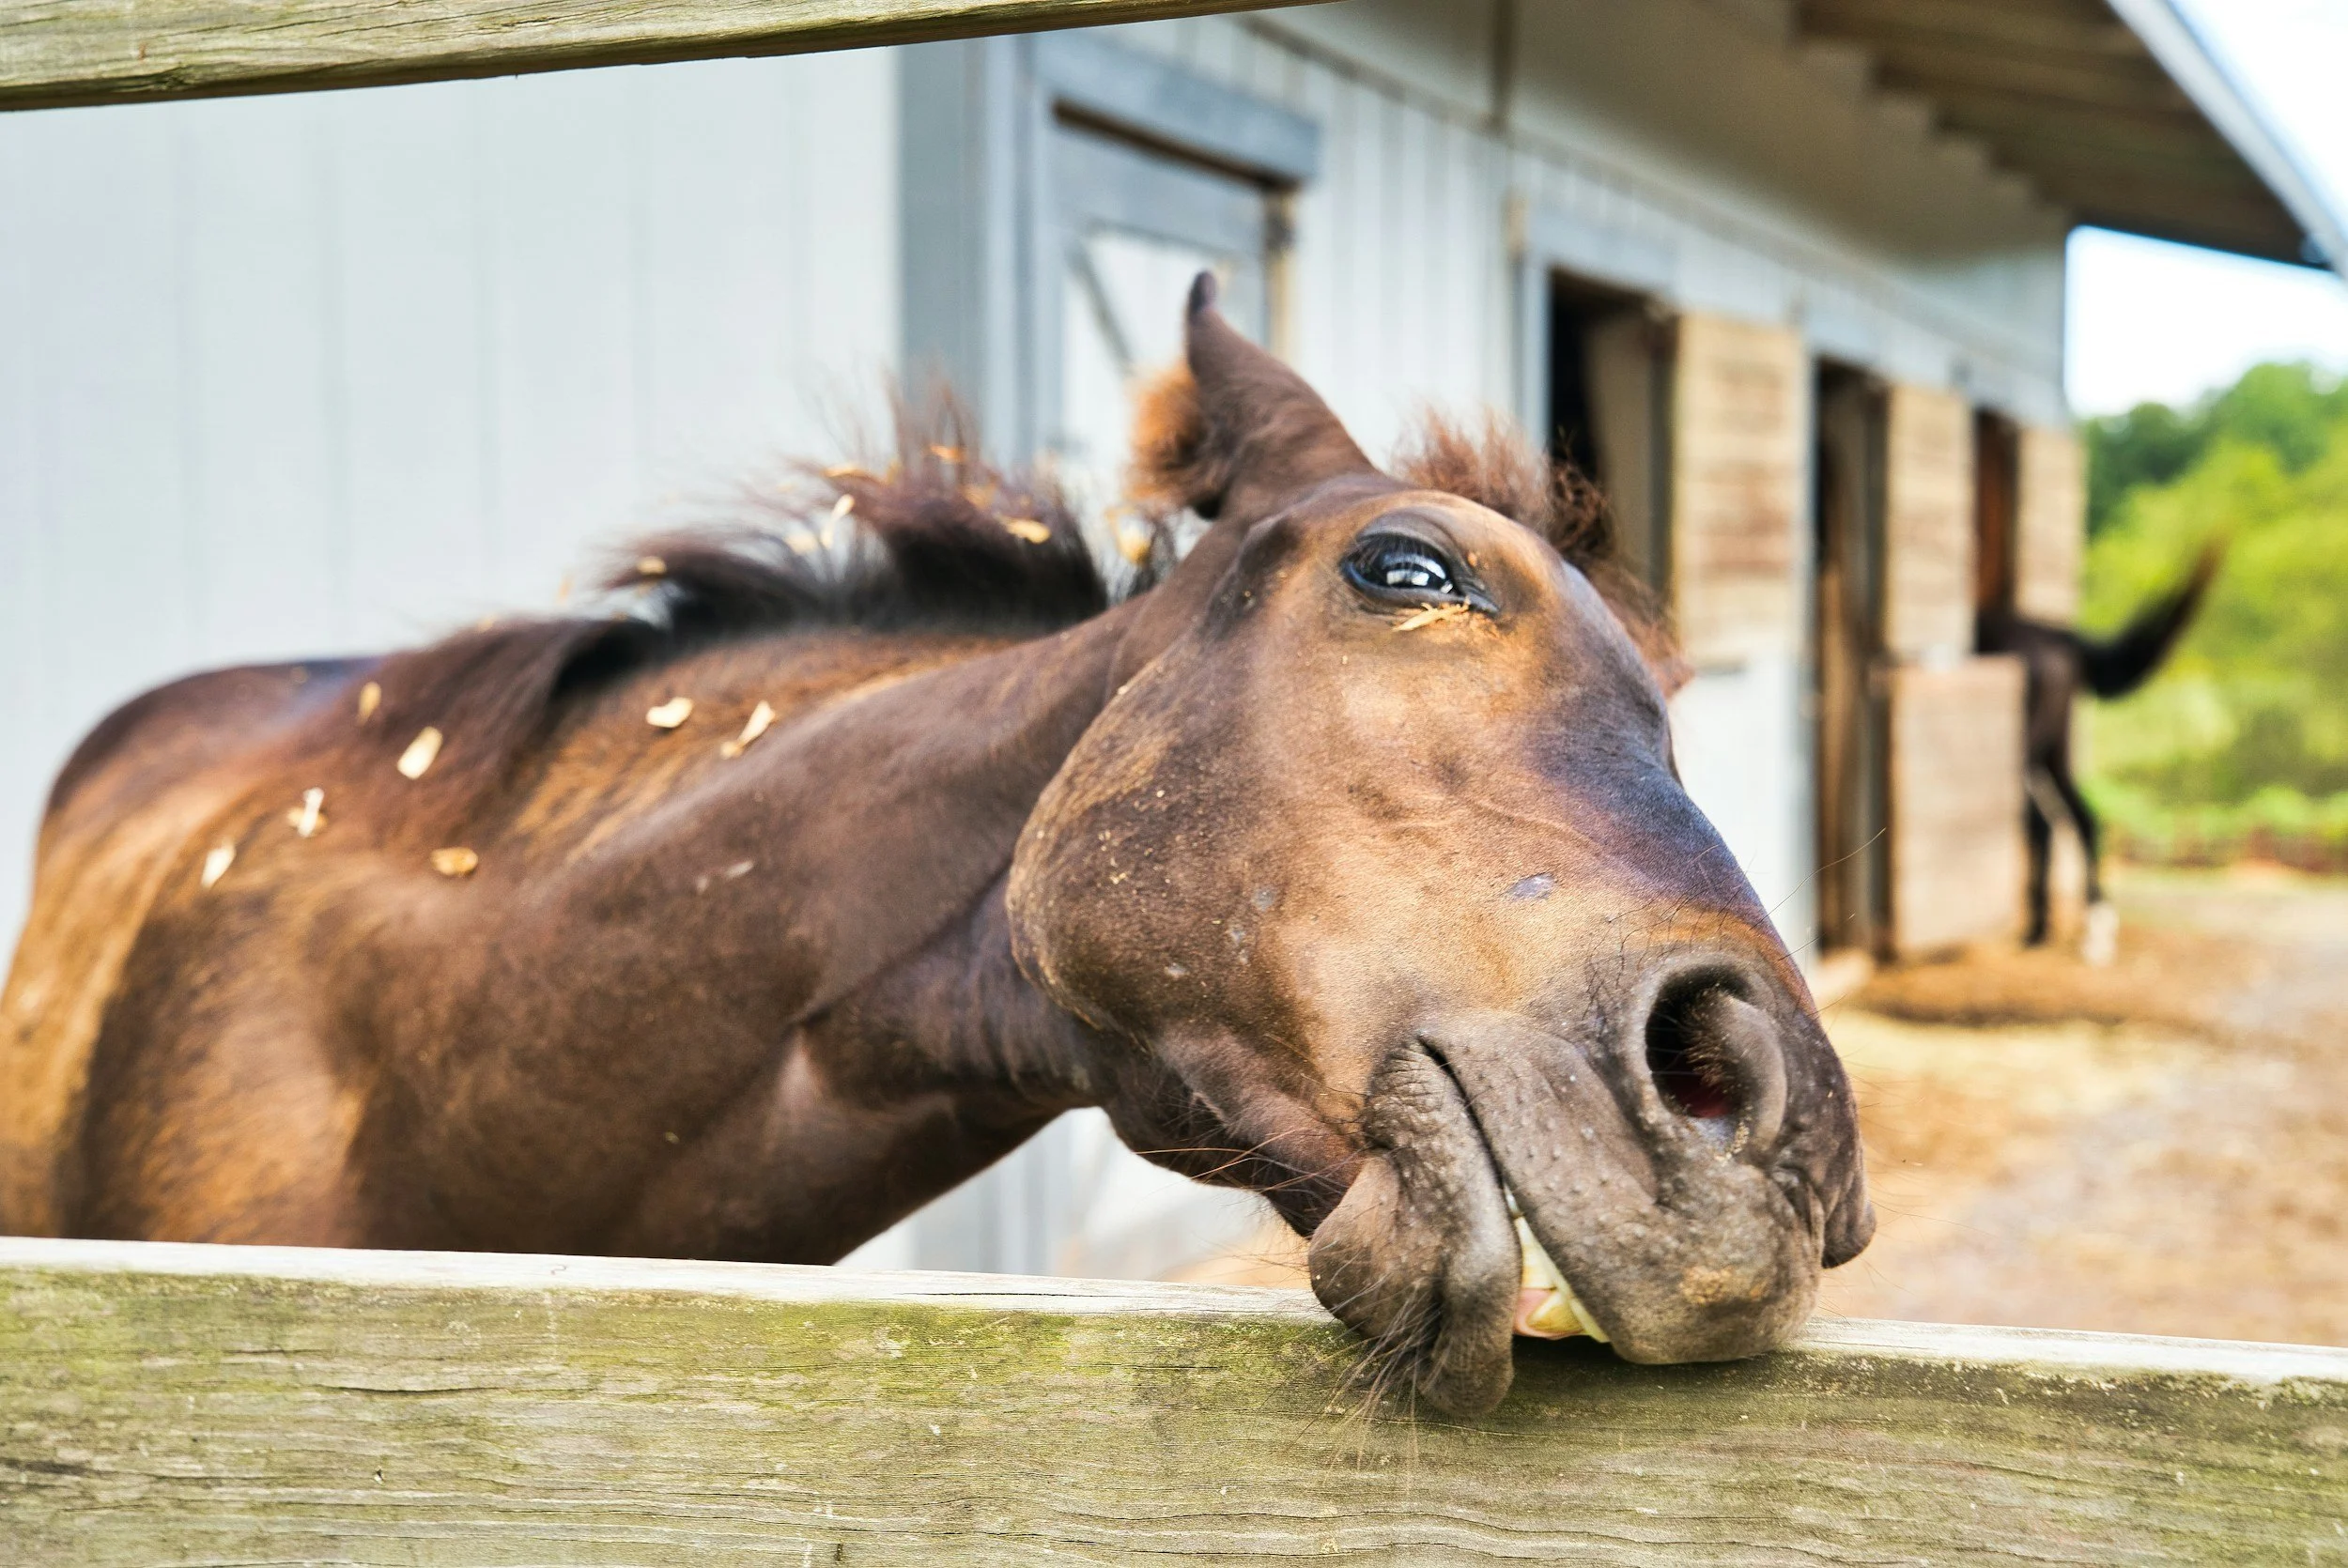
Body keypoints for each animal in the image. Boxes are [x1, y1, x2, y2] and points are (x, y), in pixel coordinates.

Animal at [1978, 544, 2220, 951]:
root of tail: (2056, 635)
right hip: (2056, 747)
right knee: (2081, 818)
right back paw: (2096, 930)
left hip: (2020, 753)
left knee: (2042, 824)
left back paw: (2038, 931)